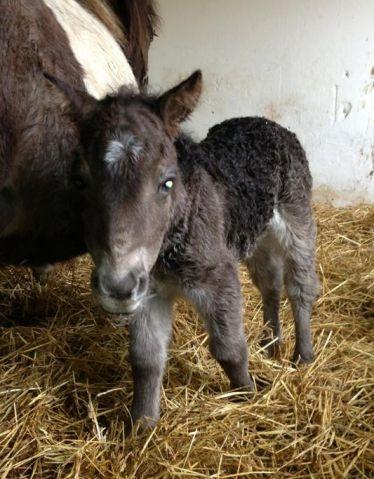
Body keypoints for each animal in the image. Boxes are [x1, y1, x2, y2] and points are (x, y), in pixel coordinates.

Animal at [51, 70, 318, 428]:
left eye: (167, 182)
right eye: (80, 182)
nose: (117, 286)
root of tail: (265, 122)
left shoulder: (218, 277)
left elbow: (229, 348)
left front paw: (248, 394)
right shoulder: (148, 291)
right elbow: (145, 359)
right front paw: (142, 427)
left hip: (297, 218)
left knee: (300, 286)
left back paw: (302, 355)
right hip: (255, 235)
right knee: (270, 284)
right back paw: (271, 342)